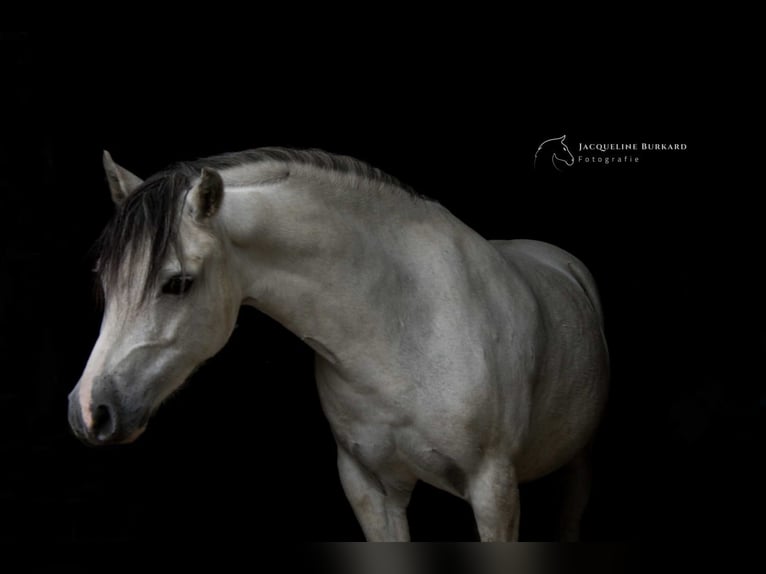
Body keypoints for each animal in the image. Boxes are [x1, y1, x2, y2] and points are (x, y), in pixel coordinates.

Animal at [66, 146, 608, 544]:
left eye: (177, 283)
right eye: (105, 281)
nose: (90, 411)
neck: (404, 331)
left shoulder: (493, 490)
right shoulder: (368, 487)